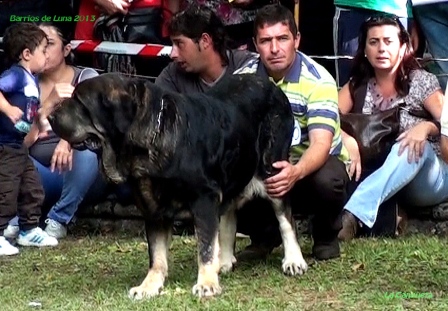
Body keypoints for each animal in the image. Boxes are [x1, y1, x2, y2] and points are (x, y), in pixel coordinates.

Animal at [49, 73, 308, 300]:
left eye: (79, 101)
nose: (50, 116)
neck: (150, 139)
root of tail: (271, 84)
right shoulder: (153, 209)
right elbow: (157, 255)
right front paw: (149, 286)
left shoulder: (204, 199)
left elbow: (205, 246)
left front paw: (206, 283)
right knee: (229, 214)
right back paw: (224, 261)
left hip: (272, 171)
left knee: (285, 219)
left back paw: (294, 260)